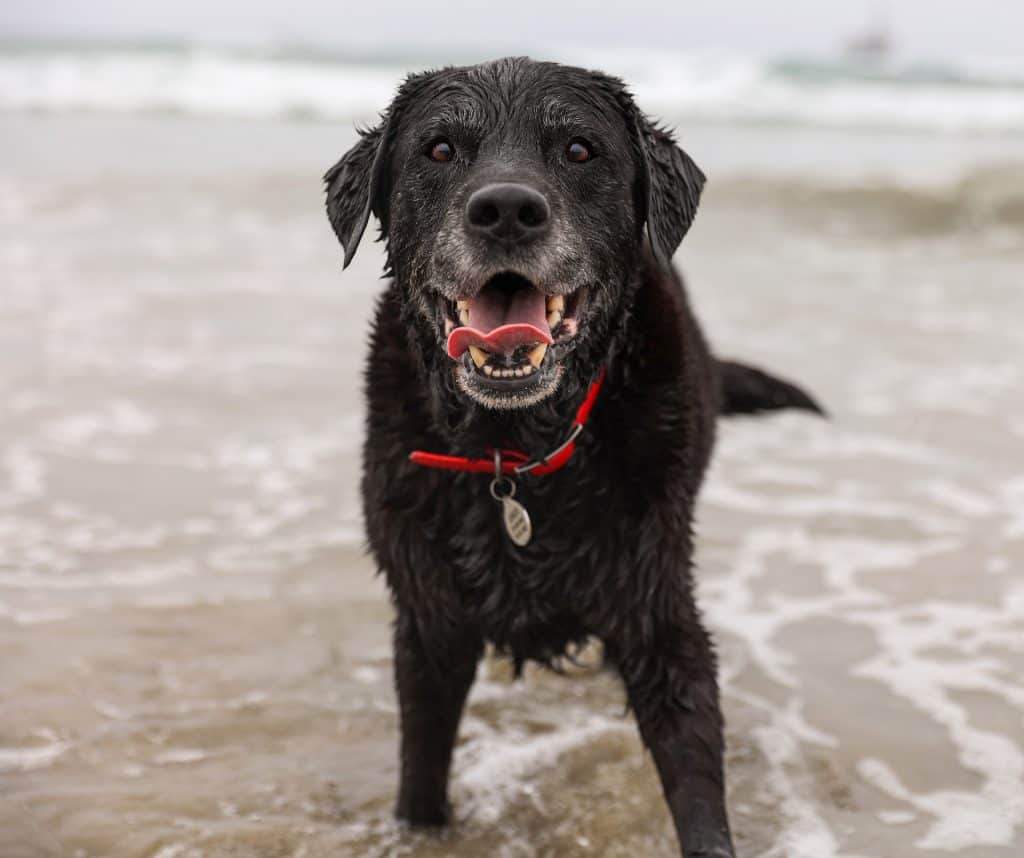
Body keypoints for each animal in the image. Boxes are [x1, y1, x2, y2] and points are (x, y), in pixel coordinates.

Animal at [323, 58, 819, 858]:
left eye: (580, 151)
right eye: (439, 149)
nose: (505, 209)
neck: (514, 452)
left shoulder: (658, 609)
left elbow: (696, 781)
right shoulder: (428, 622)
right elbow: (420, 778)